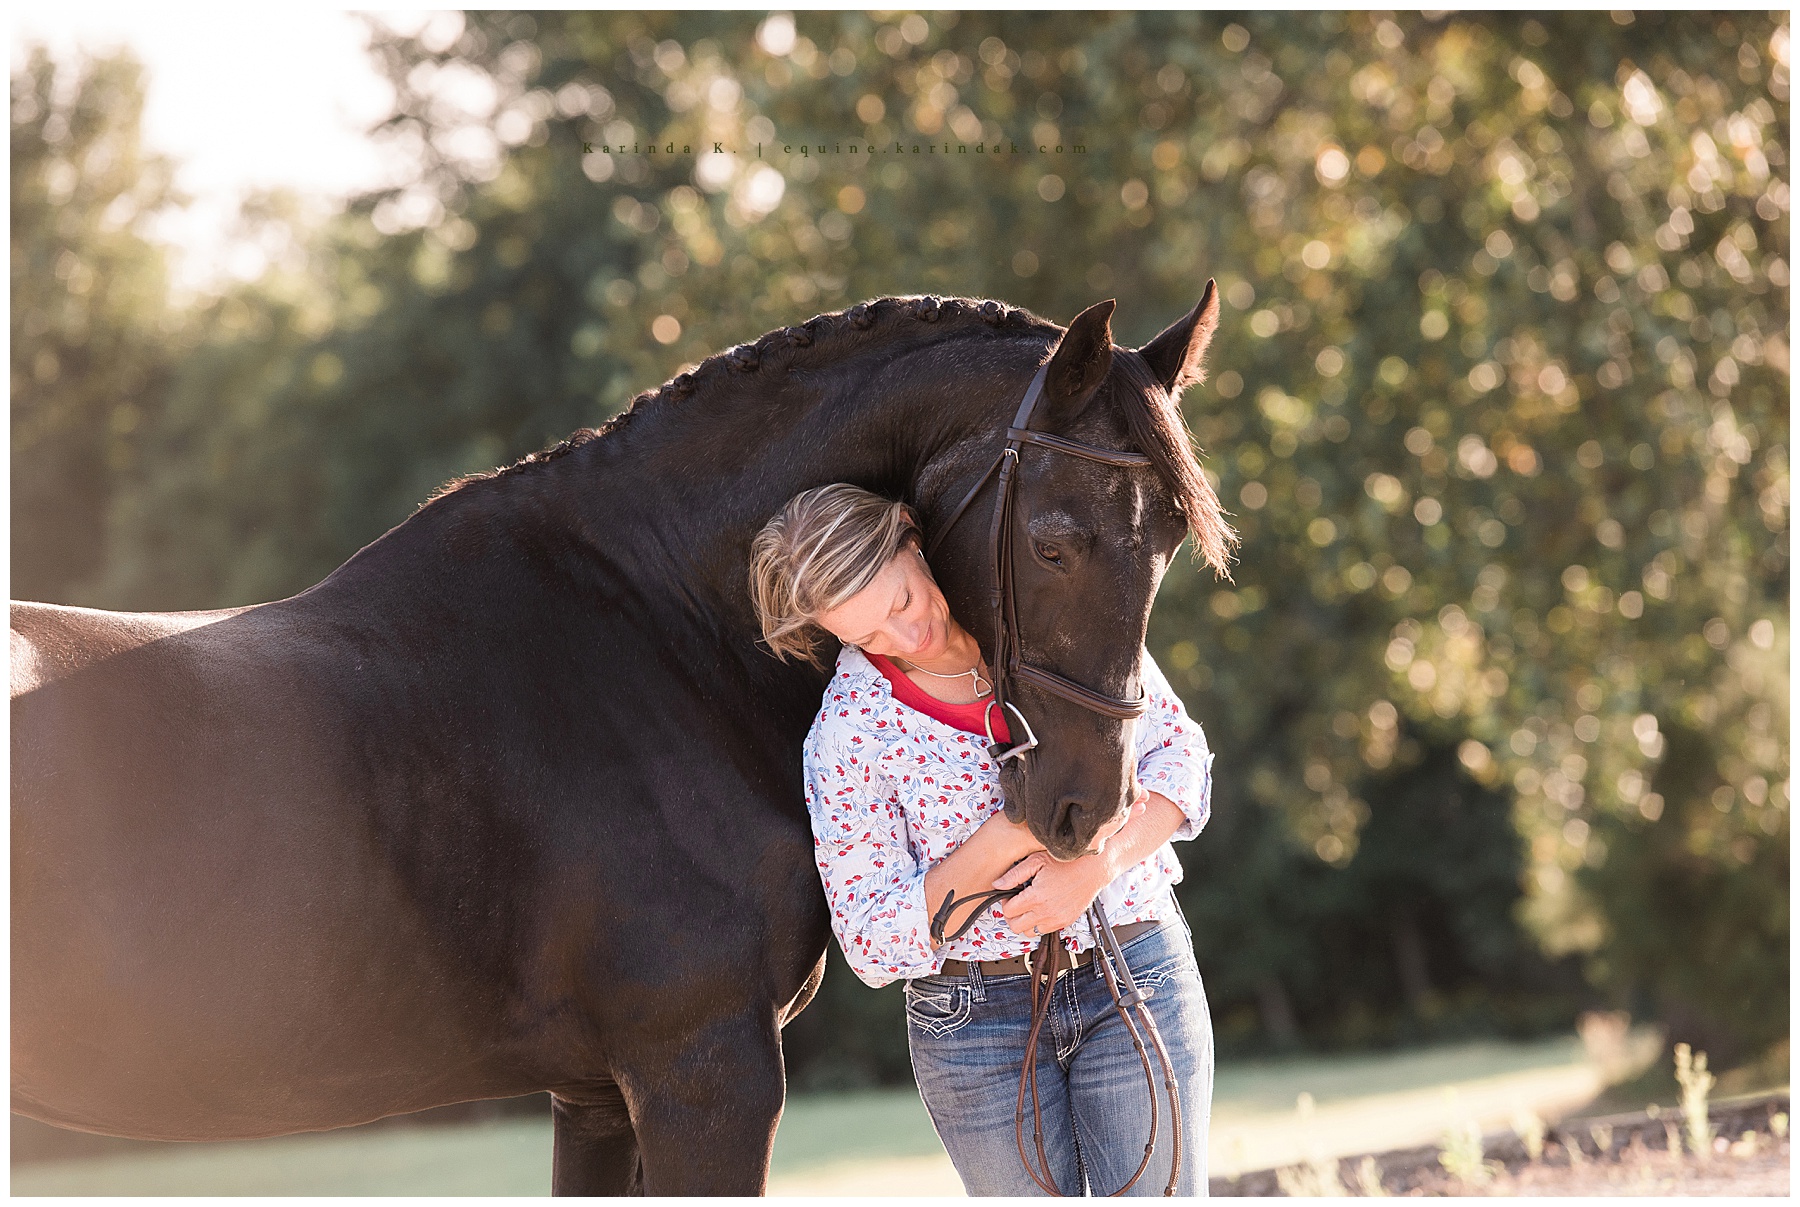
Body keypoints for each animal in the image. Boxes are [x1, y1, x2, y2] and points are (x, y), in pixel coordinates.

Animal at [11, 287, 1231, 1194]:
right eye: (1056, 539)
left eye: (1173, 534)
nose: (1087, 807)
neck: (657, 629)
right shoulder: (704, 1071)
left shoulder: (598, 1092)